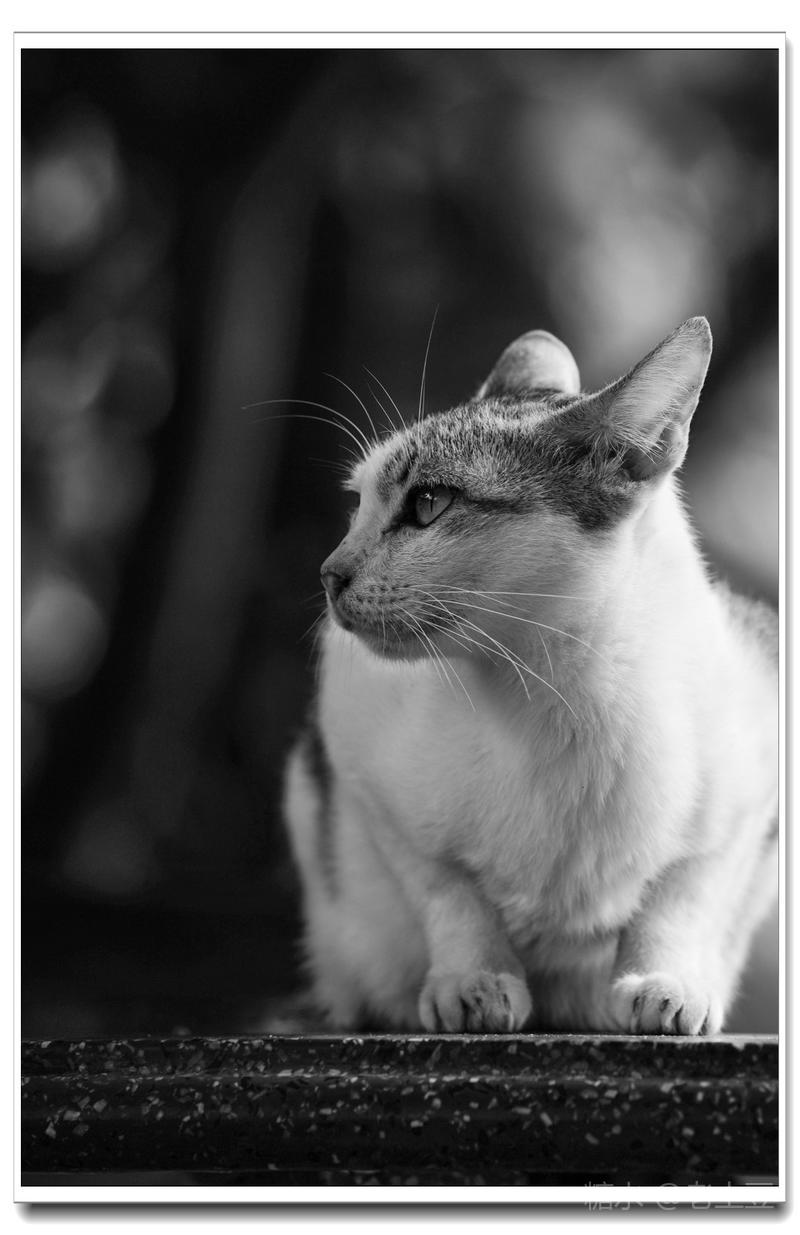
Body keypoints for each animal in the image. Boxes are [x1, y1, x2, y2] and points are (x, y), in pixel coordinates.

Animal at [283, 317, 778, 1035]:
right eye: (358, 505)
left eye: (428, 503)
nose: (329, 574)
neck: (557, 693)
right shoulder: (359, 754)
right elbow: (448, 890)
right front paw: (474, 980)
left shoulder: (746, 799)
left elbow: (679, 899)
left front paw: (664, 982)